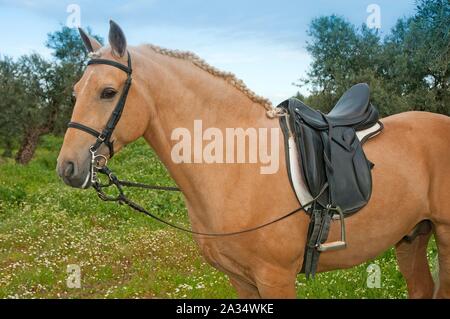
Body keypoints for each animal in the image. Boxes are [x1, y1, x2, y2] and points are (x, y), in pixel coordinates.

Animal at [56, 20, 450, 300]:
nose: (68, 167)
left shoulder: (276, 278)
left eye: (108, 92)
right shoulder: (241, 280)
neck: (238, 165)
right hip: (412, 235)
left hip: (443, 235)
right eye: (75, 92)